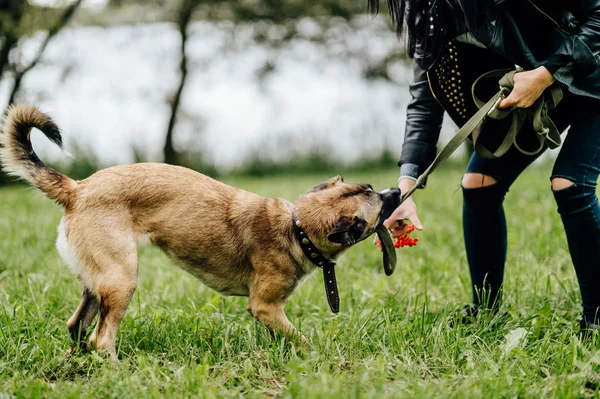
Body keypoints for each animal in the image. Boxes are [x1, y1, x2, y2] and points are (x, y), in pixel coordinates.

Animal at [0, 104, 404, 360]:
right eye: (376, 207)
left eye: (373, 189)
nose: (397, 192)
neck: (296, 226)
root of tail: (78, 188)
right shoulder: (266, 308)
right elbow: (300, 337)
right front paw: (313, 356)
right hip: (122, 279)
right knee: (102, 338)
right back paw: (114, 368)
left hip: (98, 282)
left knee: (77, 326)